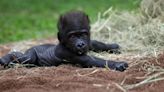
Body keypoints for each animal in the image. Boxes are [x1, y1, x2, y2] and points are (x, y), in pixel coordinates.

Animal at [0, 10, 128, 72]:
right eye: (72, 36)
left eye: (83, 34)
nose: (80, 44)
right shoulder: (65, 52)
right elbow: (90, 60)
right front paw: (116, 64)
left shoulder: (88, 42)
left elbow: (94, 43)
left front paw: (112, 47)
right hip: (31, 53)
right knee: (27, 58)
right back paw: (7, 58)